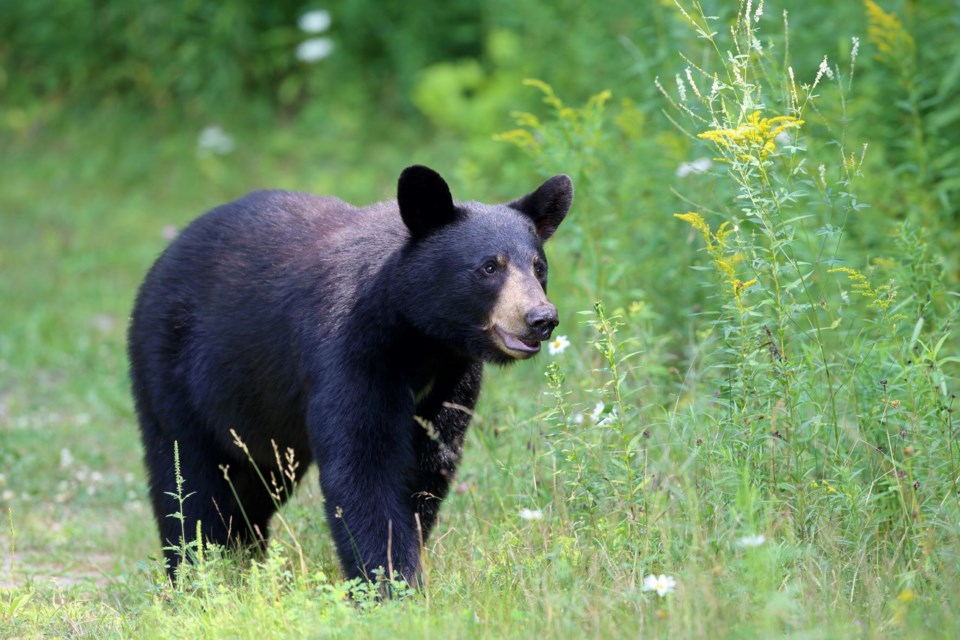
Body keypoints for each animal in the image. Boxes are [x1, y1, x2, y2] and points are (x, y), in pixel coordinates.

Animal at [130, 165, 572, 584]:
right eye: (489, 267)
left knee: (253, 486)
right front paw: (391, 583)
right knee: (187, 482)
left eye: (539, 267)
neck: (419, 337)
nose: (541, 318)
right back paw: (195, 572)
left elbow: (430, 462)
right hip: (172, 372)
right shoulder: (350, 352)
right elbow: (363, 464)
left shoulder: (452, 375)